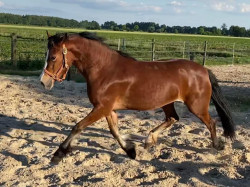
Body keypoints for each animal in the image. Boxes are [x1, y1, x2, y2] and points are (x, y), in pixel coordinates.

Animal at [40, 32, 235, 164]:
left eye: (53, 57)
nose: (44, 82)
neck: (105, 69)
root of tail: (204, 70)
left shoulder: (101, 107)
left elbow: (78, 126)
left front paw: (58, 154)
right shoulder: (107, 108)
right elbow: (114, 131)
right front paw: (130, 151)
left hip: (197, 106)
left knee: (211, 123)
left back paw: (217, 146)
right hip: (167, 103)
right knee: (173, 118)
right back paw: (149, 140)